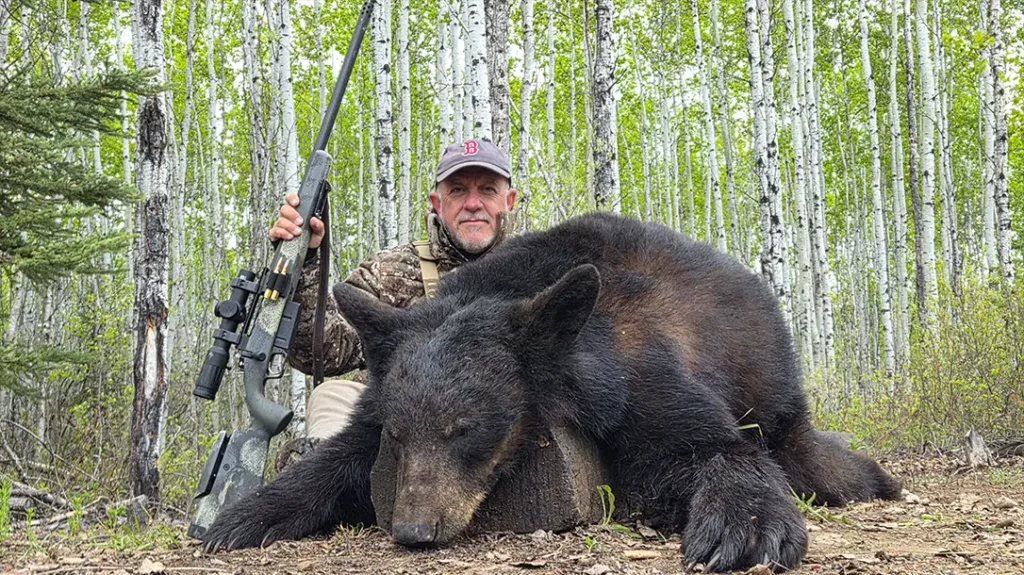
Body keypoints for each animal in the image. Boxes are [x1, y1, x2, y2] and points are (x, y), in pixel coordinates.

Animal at [202, 212, 901, 572]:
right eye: (402, 434)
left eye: (468, 428)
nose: (414, 528)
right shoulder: (380, 406)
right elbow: (339, 454)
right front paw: (239, 517)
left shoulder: (636, 371)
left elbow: (706, 447)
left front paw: (744, 529)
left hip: (771, 382)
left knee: (807, 452)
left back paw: (873, 477)